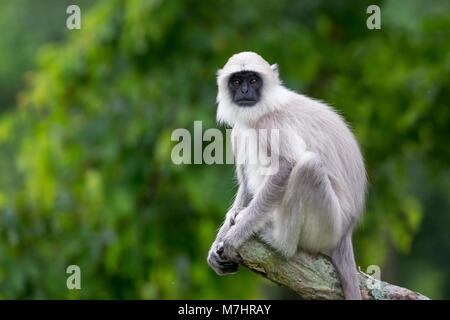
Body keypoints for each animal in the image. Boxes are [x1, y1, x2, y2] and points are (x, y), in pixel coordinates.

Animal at [207, 51, 366, 298]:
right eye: (236, 82)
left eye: (253, 80)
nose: (245, 91)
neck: (265, 109)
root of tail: (345, 233)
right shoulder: (238, 132)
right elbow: (246, 186)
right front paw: (219, 242)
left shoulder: (271, 124)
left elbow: (287, 166)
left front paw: (234, 236)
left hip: (329, 227)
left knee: (308, 166)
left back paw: (281, 243)